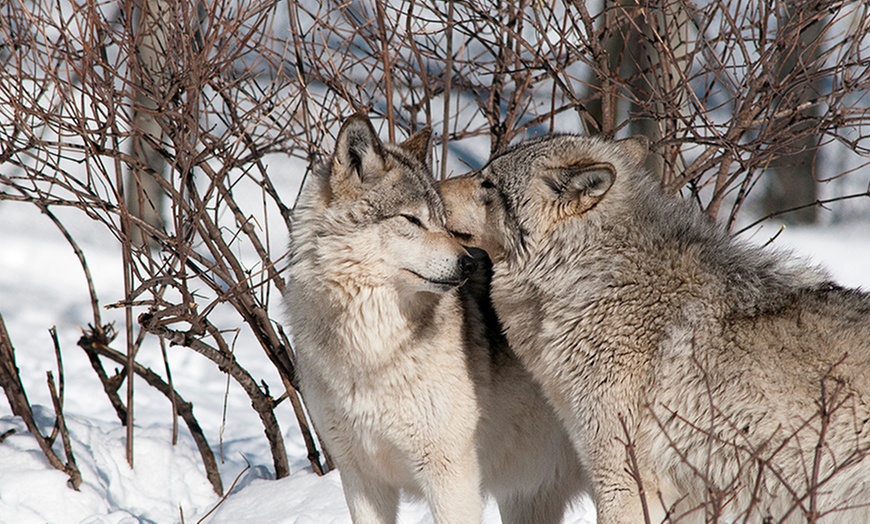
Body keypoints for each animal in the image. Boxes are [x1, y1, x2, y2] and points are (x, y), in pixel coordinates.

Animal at [286, 115, 584, 524]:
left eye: (443, 221)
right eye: (412, 219)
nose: (469, 263)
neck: (372, 347)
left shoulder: (450, 474)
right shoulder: (360, 477)